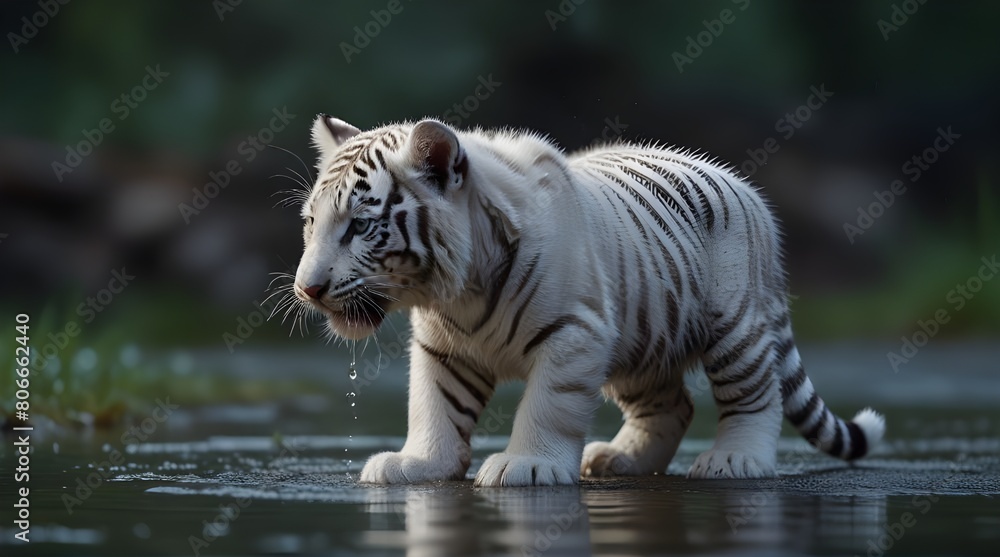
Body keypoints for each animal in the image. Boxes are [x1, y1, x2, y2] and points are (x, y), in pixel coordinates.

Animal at [292, 114, 885, 486]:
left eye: (360, 227)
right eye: (311, 223)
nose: (307, 289)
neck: (458, 290)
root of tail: (747, 191)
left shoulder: (574, 334)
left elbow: (547, 406)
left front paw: (526, 466)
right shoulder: (445, 348)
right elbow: (434, 404)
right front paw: (418, 465)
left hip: (734, 328)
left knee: (755, 394)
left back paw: (735, 460)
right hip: (643, 341)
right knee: (673, 405)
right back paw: (617, 460)